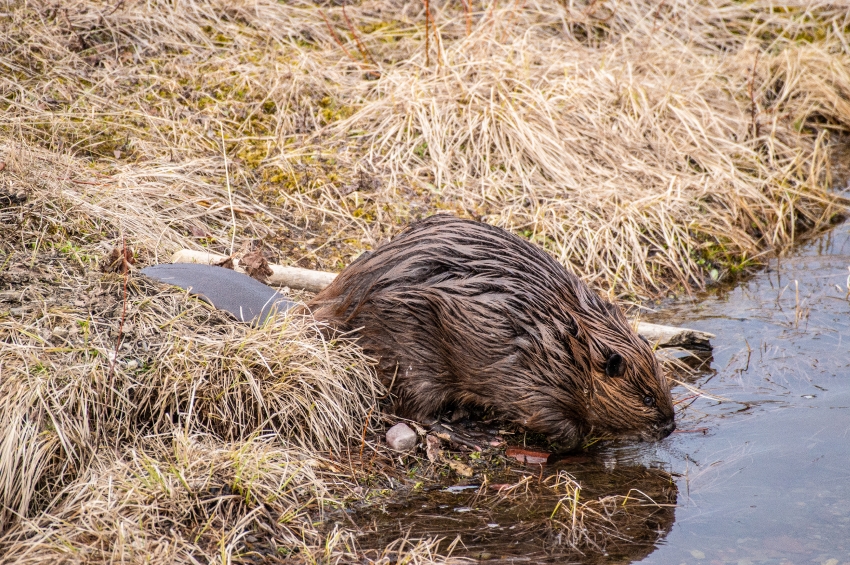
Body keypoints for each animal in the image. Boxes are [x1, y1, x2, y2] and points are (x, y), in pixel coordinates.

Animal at [144, 214, 676, 448]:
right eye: (647, 397)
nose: (670, 424)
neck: (563, 337)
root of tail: (322, 309)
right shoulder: (528, 375)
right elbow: (553, 424)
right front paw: (583, 440)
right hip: (408, 344)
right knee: (410, 406)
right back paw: (460, 429)